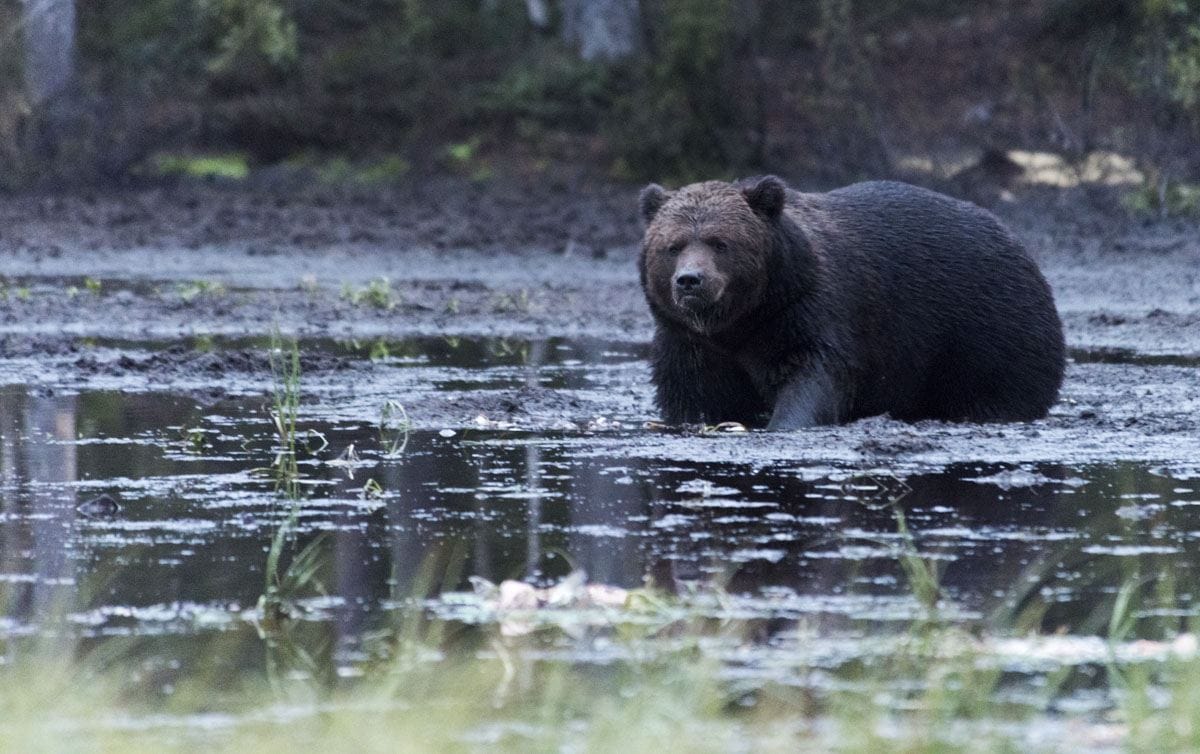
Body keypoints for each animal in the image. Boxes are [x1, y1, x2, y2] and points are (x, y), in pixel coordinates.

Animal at [643, 172, 1065, 427]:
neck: (742, 322)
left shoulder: (808, 311)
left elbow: (813, 377)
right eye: (673, 246)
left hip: (987, 330)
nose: (690, 281)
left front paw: (785, 421)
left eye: (720, 243)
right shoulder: (690, 343)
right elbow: (692, 396)